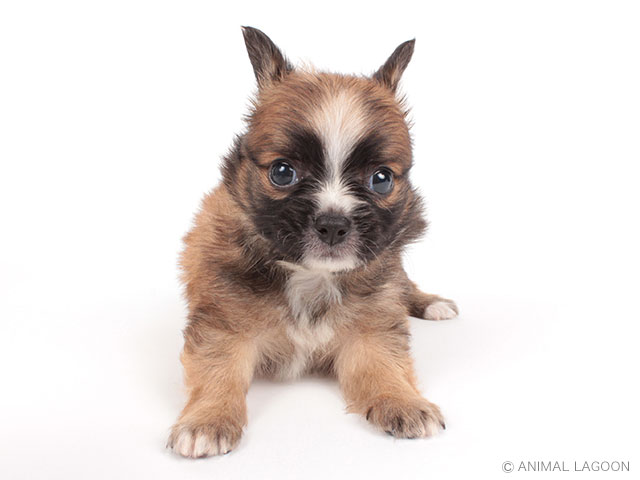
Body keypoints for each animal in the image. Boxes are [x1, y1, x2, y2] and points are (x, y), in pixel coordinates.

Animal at [168, 25, 458, 458]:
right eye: (282, 172)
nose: (334, 225)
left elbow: (384, 365)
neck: (309, 275)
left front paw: (402, 401)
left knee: (406, 287)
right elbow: (218, 369)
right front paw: (207, 419)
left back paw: (432, 303)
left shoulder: (373, 323)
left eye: (381, 179)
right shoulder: (223, 321)